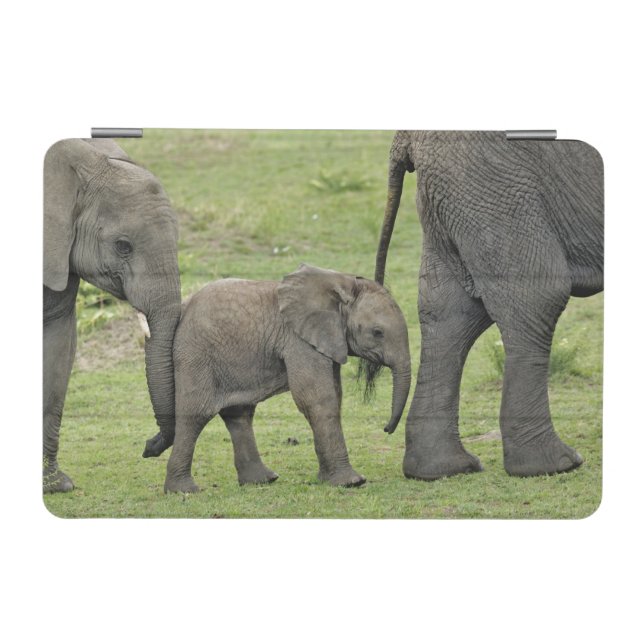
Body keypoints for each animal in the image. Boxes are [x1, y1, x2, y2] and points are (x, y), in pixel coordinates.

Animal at [162, 264, 412, 493]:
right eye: (377, 333)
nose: (386, 429)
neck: (341, 283)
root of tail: (184, 307)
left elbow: (334, 394)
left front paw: (327, 479)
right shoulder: (298, 340)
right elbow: (317, 398)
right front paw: (352, 482)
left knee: (239, 413)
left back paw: (262, 480)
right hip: (196, 354)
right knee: (197, 412)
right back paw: (183, 490)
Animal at [375, 130, 603, 480]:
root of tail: (408, 136)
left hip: (457, 193)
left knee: (451, 311)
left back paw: (442, 469)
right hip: (493, 182)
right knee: (538, 295)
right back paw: (554, 464)